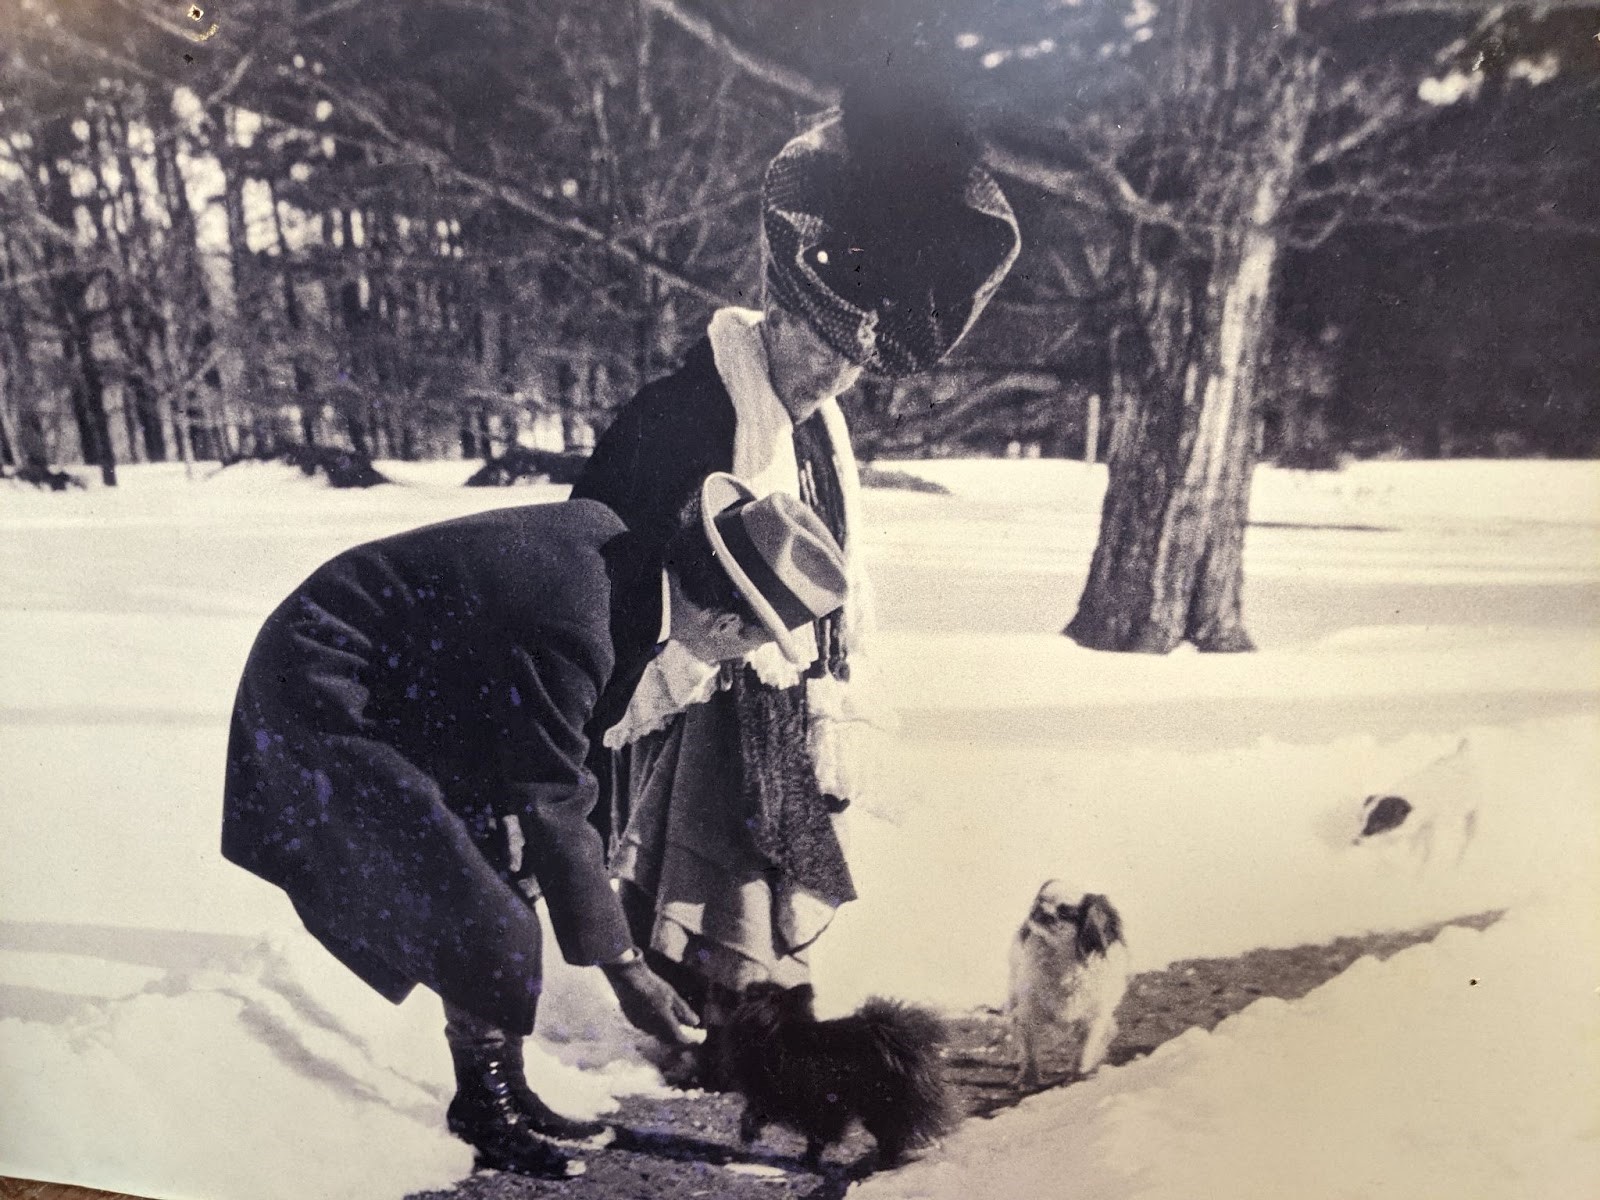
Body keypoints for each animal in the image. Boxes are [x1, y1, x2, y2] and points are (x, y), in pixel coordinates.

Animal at [723, 979, 953, 1171]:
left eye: (757, 993)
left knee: (890, 1135)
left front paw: (807, 1162)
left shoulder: (796, 1098)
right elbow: (753, 1113)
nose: (748, 986)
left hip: (879, 1104)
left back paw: (884, 1165)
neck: (777, 1031)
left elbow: (811, 1135)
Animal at [1004, 883, 1132, 1088]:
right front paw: (1028, 1079)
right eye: (1040, 900)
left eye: (1064, 911)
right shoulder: (1029, 1012)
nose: (1039, 910)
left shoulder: (1094, 1018)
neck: (1064, 961)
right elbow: (1030, 1049)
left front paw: (1078, 1077)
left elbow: (1084, 1051)